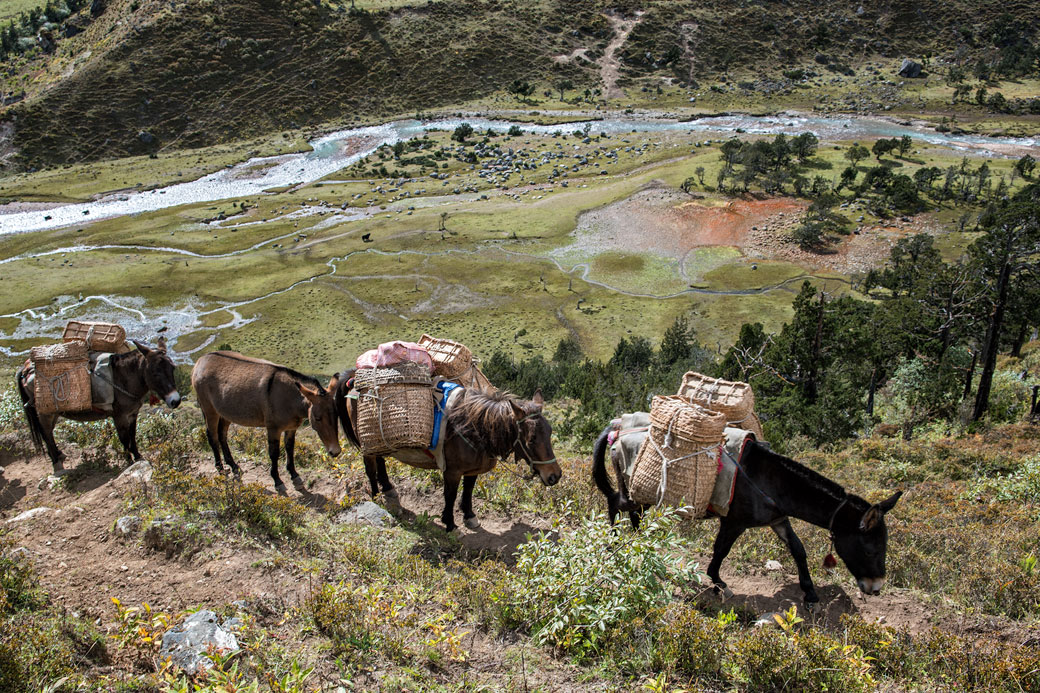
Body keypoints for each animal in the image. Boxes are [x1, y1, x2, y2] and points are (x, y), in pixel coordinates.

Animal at [16, 335, 180, 474]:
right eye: (155, 373)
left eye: (173, 368)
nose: (176, 401)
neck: (124, 378)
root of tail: (25, 369)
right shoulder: (119, 416)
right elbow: (124, 438)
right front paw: (129, 461)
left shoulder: (133, 413)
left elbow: (132, 435)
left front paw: (138, 456)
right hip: (45, 412)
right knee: (47, 435)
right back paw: (57, 463)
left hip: (54, 412)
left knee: (48, 433)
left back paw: (59, 455)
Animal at [192, 351, 341, 491]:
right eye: (318, 418)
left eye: (337, 416)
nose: (336, 452)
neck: (291, 398)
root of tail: (201, 359)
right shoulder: (273, 428)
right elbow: (274, 453)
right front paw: (277, 480)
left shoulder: (291, 427)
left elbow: (290, 448)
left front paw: (294, 474)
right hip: (209, 409)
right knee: (212, 436)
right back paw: (220, 468)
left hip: (225, 412)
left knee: (222, 435)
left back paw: (233, 465)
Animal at [334, 370, 561, 530]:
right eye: (531, 439)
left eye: (550, 432)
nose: (555, 476)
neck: (473, 427)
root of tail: (354, 382)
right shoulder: (452, 471)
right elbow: (450, 495)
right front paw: (450, 523)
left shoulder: (472, 470)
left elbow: (468, 491)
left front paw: (469, 516)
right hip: (368, 446)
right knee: (370, 468)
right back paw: (375, 497)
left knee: (381, 461)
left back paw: (388, 488)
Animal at [594, 416, 902, 603]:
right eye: (870, 550)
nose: (875, 588)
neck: (772, 483)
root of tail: (616, 429)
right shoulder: (734, 522)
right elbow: (721, 550)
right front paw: (718, 582)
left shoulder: (779, 519)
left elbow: (798, 550)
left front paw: (810, 593)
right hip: (632, 491)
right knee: (615, 504)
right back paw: (613, 546)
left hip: (642, 497)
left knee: (634, 517)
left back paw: (641, 548)